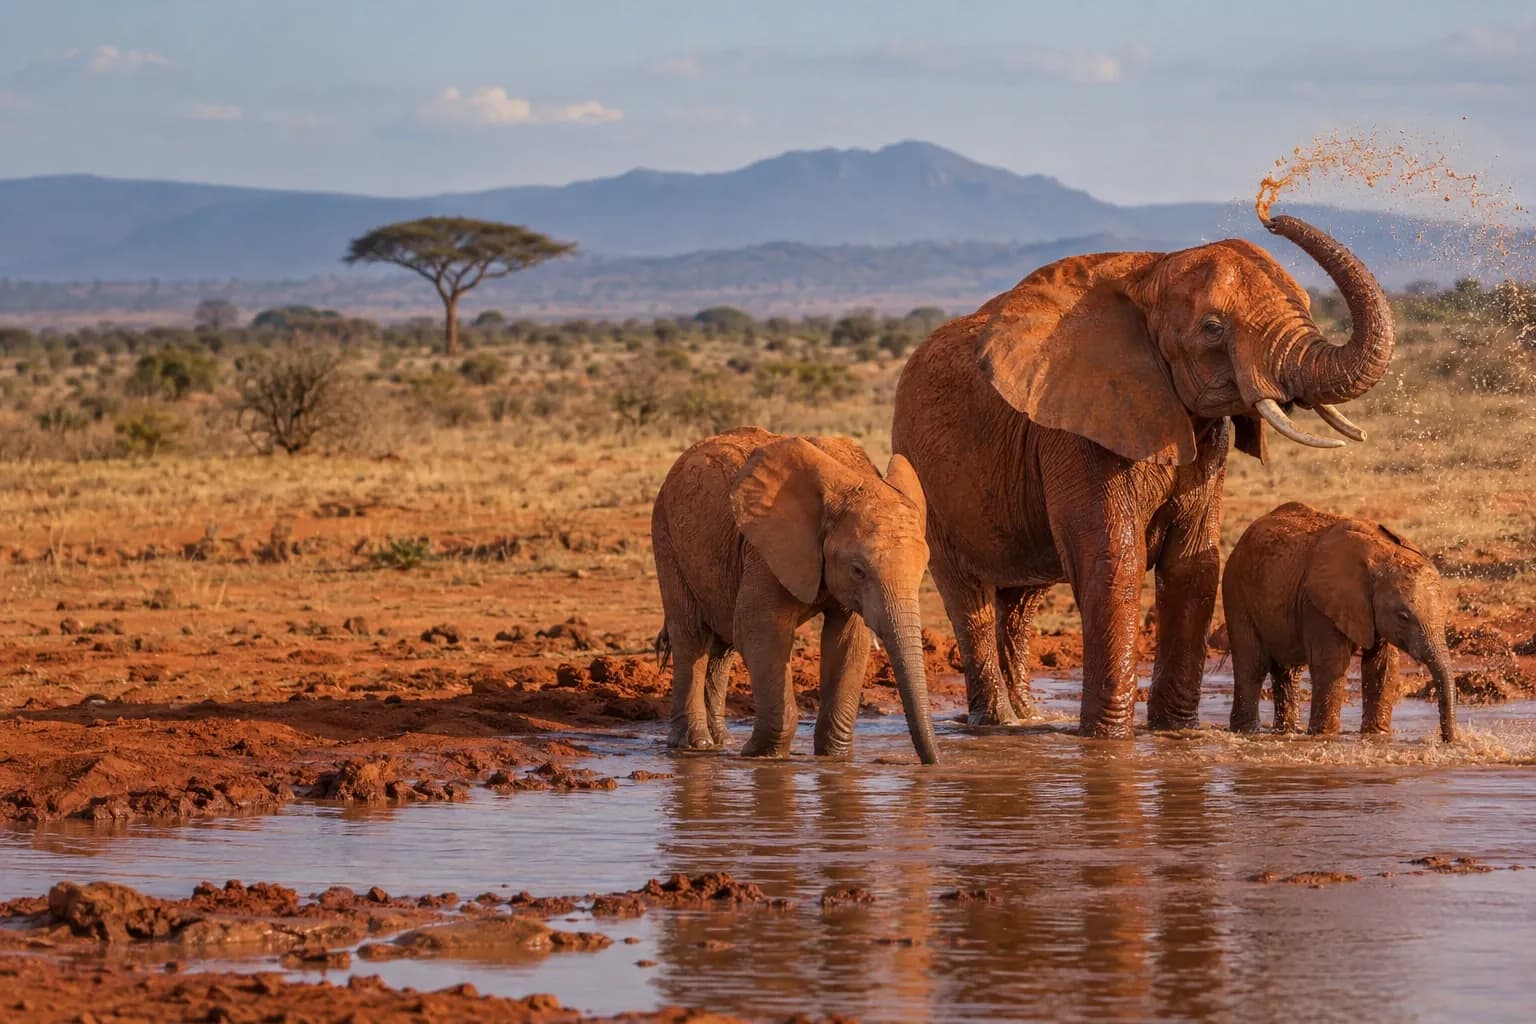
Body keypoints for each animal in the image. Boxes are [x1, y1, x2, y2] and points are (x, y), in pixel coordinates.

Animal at [651, 427, 939, 764]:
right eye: (858, 570)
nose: (931, 764)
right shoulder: (765, 548)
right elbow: (760, 631)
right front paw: (761, 755)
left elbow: (847, 641)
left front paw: (834, 758)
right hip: (665, 533)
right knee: (692, 635)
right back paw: (695, 745)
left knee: (722, 645)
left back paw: (721, 742)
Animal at [891, 213, 1394, 738]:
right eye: (1213, 328)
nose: (1269, 214)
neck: (1150, 272)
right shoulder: (1079, 428)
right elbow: (1116, 559)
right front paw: (1108, 740)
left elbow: (1193, 566)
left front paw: (1176, 733)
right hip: (922, 477)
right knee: (970, 599)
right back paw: (995, 722)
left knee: (1021, 604)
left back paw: (1028, 718)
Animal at [1222, 501, 1456, 742]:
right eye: (1403, 617)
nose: (1448, 738)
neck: (1382, 556)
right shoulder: (1318, 605)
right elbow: (1331, 664)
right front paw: (1324, 736)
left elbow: (1383, 667)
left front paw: (1377, 737)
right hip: (1236, 592)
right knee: (1253, 666)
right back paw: (1248, 731)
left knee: (1289, 672)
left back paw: (1286, 731)